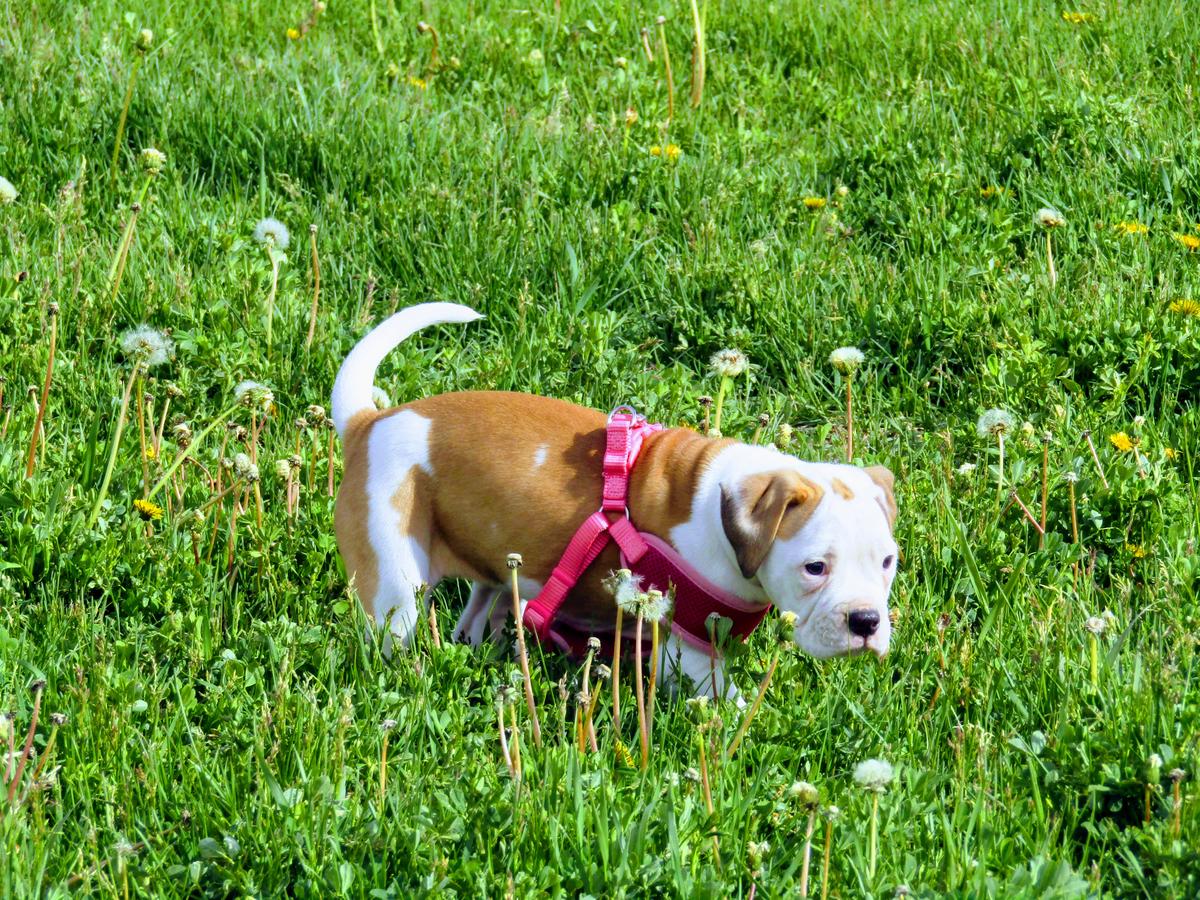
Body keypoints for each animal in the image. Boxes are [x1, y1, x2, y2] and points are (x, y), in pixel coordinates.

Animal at [333, 303, 897, 696]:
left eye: (888, 563)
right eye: (814, 568)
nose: (867, 622)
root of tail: (368, 424)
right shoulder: (687, 653)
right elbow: (724, 703)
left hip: (494, 574)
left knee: (475, 618)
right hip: (395, 589)